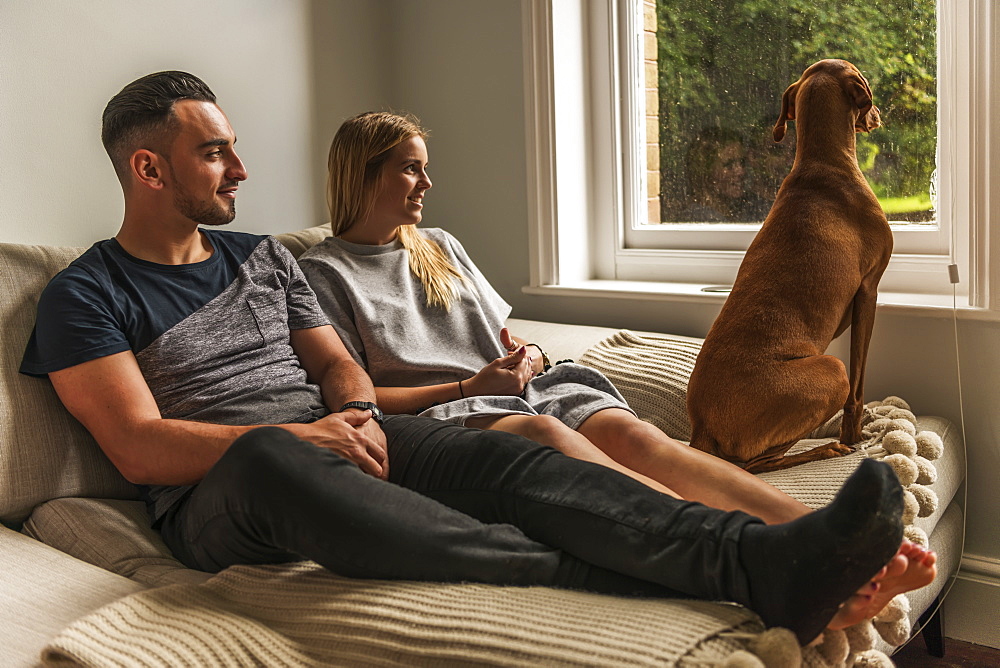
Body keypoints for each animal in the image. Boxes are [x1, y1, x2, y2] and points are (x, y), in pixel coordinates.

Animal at [688, 60, 892, 472]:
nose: (878, 114)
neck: (823, 163)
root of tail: (701, 427)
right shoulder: (868, 291)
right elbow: (859, 389)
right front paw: (853, 436)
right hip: (832, 370)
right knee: (753, 464)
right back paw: (825, 449)